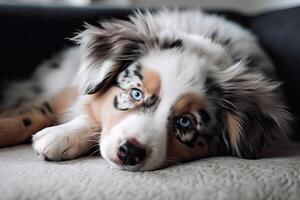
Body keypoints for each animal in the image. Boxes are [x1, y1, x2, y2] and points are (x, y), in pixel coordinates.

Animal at [0, 9, 292, 171]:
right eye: (135, 93)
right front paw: (60, 133)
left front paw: (61, 137)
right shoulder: (65, 93)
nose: (130, 152)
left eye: (185, 122)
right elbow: (33, 114)